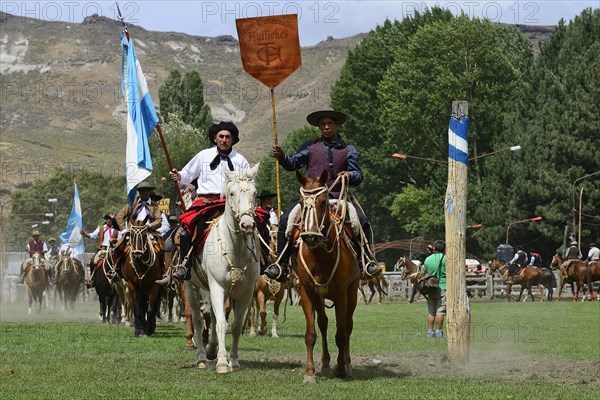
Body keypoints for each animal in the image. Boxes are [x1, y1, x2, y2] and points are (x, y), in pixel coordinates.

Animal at [186, 164, 262, 374]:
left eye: (254, 192)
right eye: (232, 193)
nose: (247, 225)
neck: (235, 247)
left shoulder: (245, 291)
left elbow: (235, 326)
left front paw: (233, 361)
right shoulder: (218, 287)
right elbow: (221, 324)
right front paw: (221, 363)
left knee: (211, 315)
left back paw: (211, 349)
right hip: (191, 286)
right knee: (198, 319)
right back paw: (202, 358)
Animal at [294, 170, 358, 384]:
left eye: (322, 202)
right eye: (301, 202)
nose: (310, 236)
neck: (320, 256)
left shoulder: (341, 295)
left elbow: (341, 334)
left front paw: (341, 367)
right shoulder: (307, 293)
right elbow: (311, 333)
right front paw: (309, 373)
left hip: (353, 292)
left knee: (348, 326)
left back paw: (346, 364)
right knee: (323, 323)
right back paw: (326, 364)